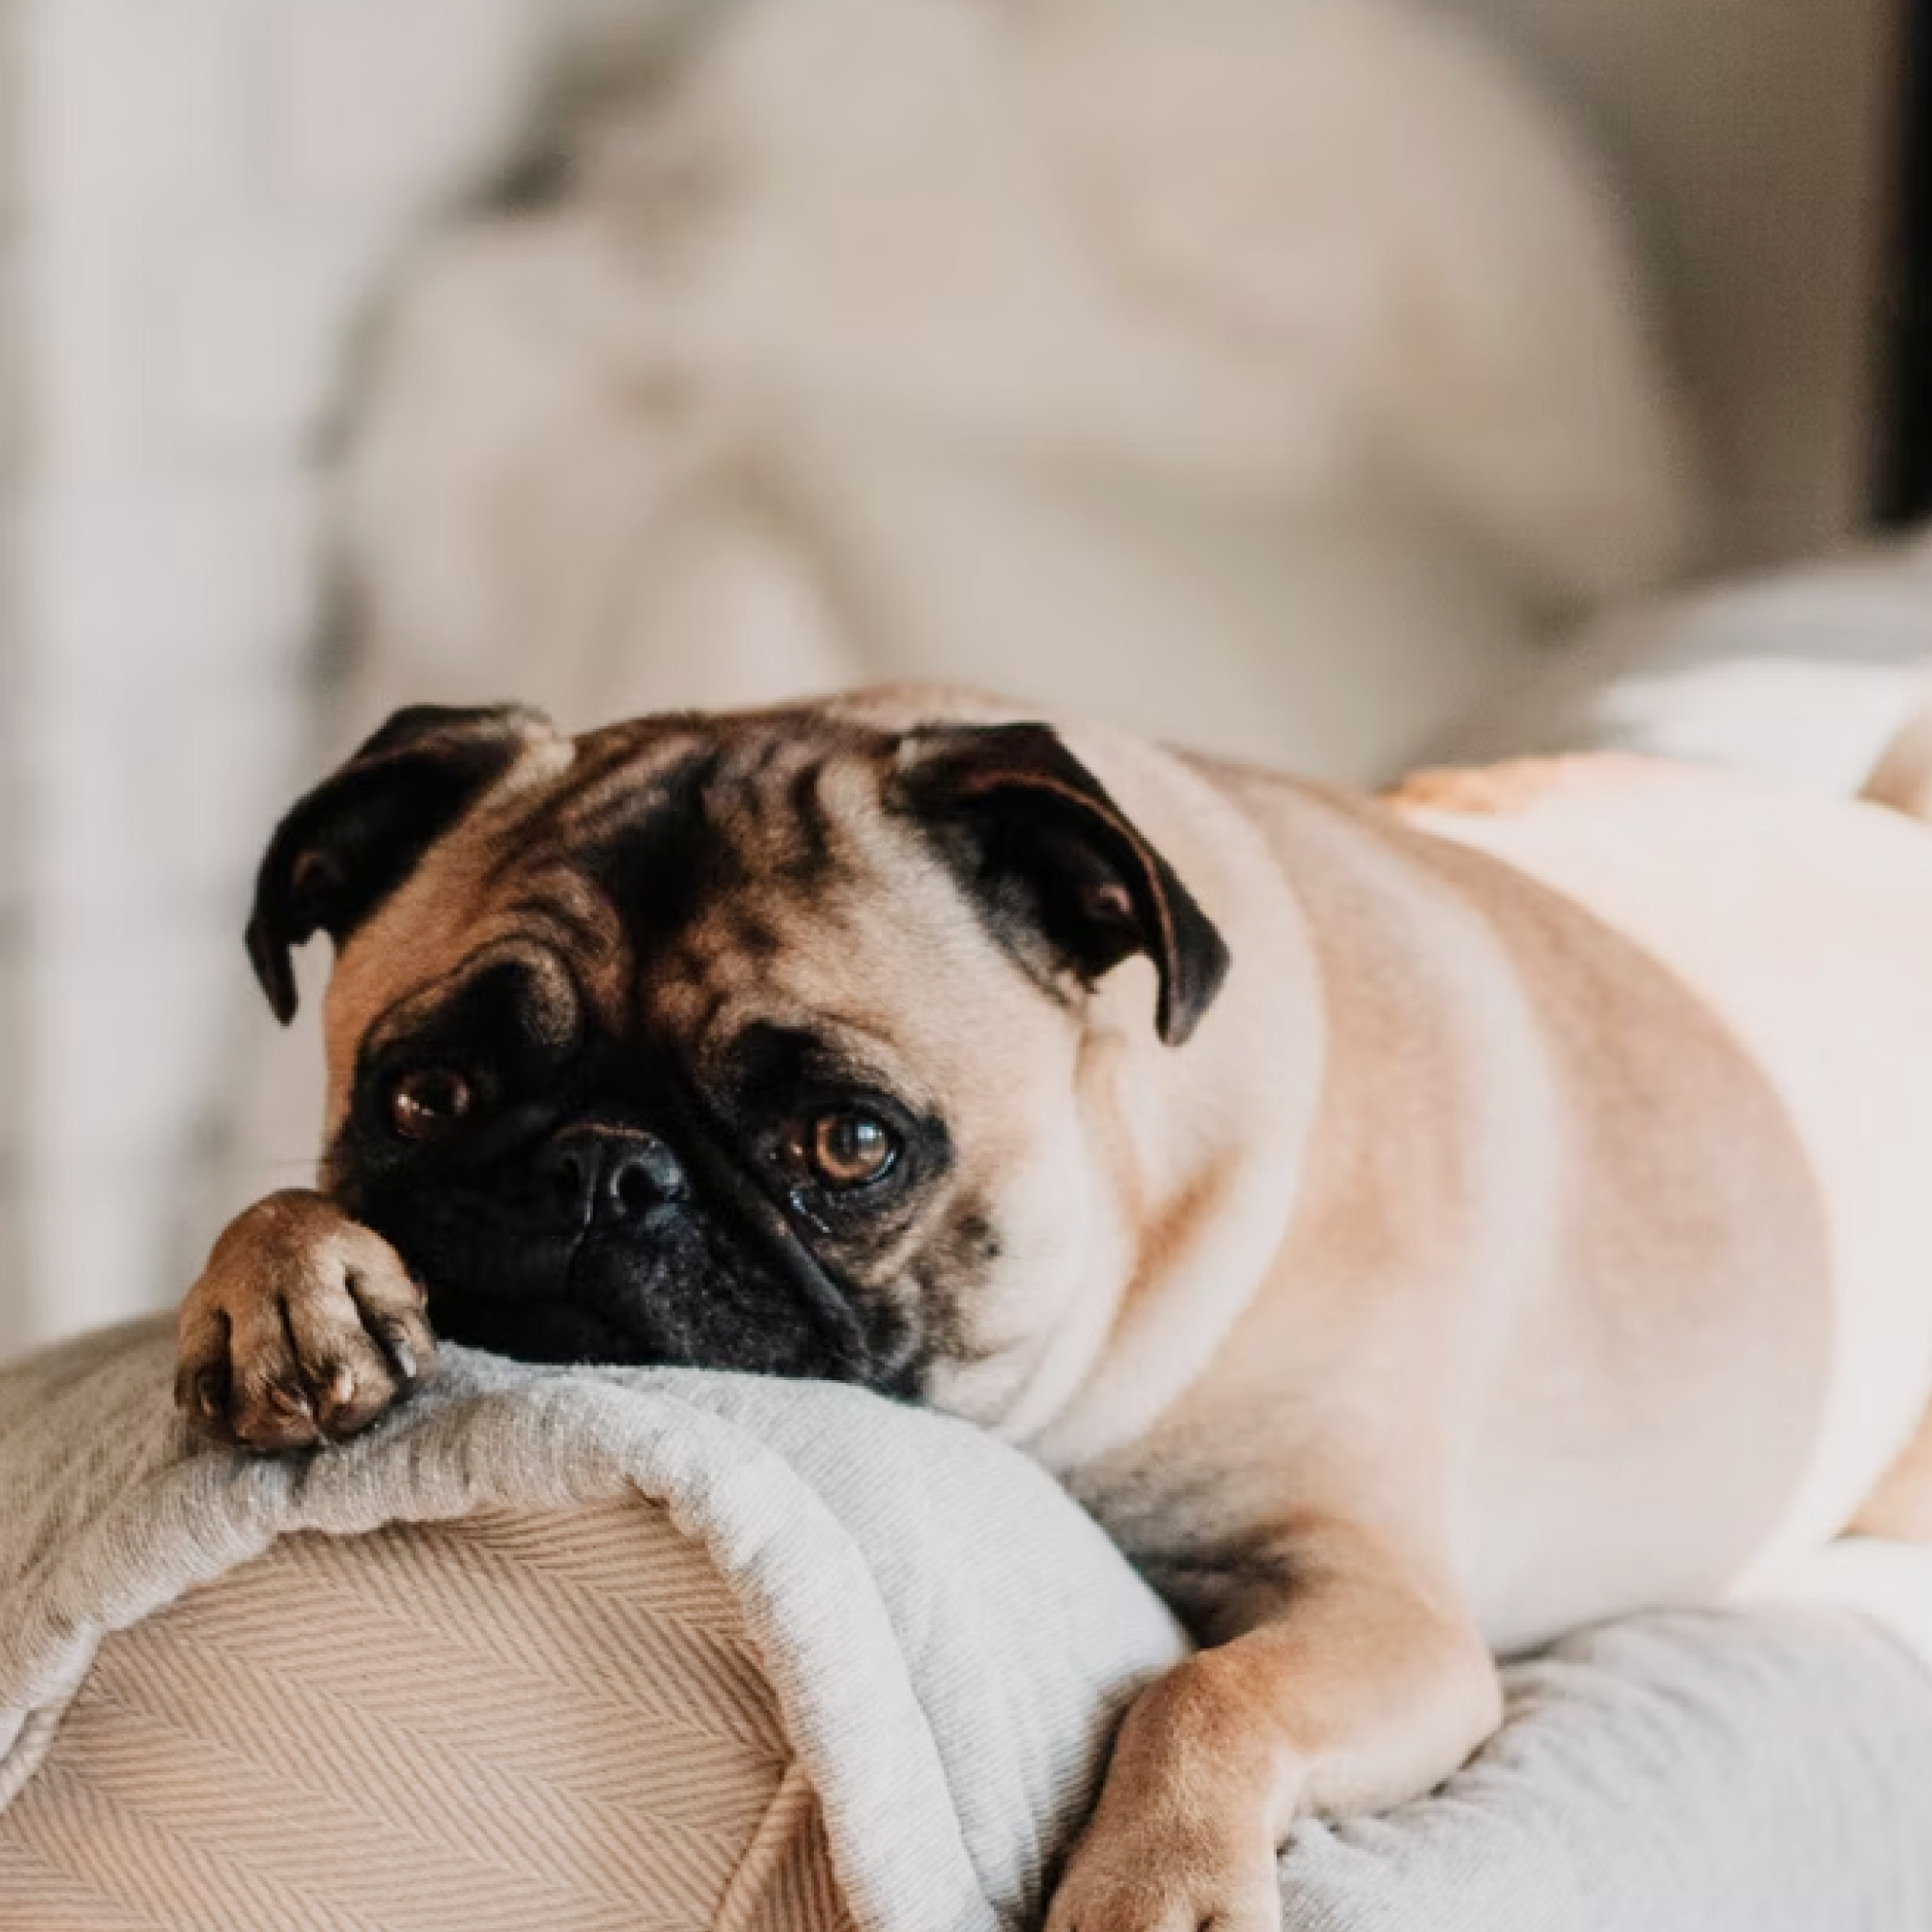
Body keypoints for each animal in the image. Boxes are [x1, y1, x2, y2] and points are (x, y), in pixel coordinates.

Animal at [173, 692, 1932, 1932]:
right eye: (429, 1093)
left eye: (851, 1145)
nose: (608, 1171)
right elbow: (281, 1212)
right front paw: (282, 1279)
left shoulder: (1390, 1613)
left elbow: (1205, 1687)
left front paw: (1156, 1888)